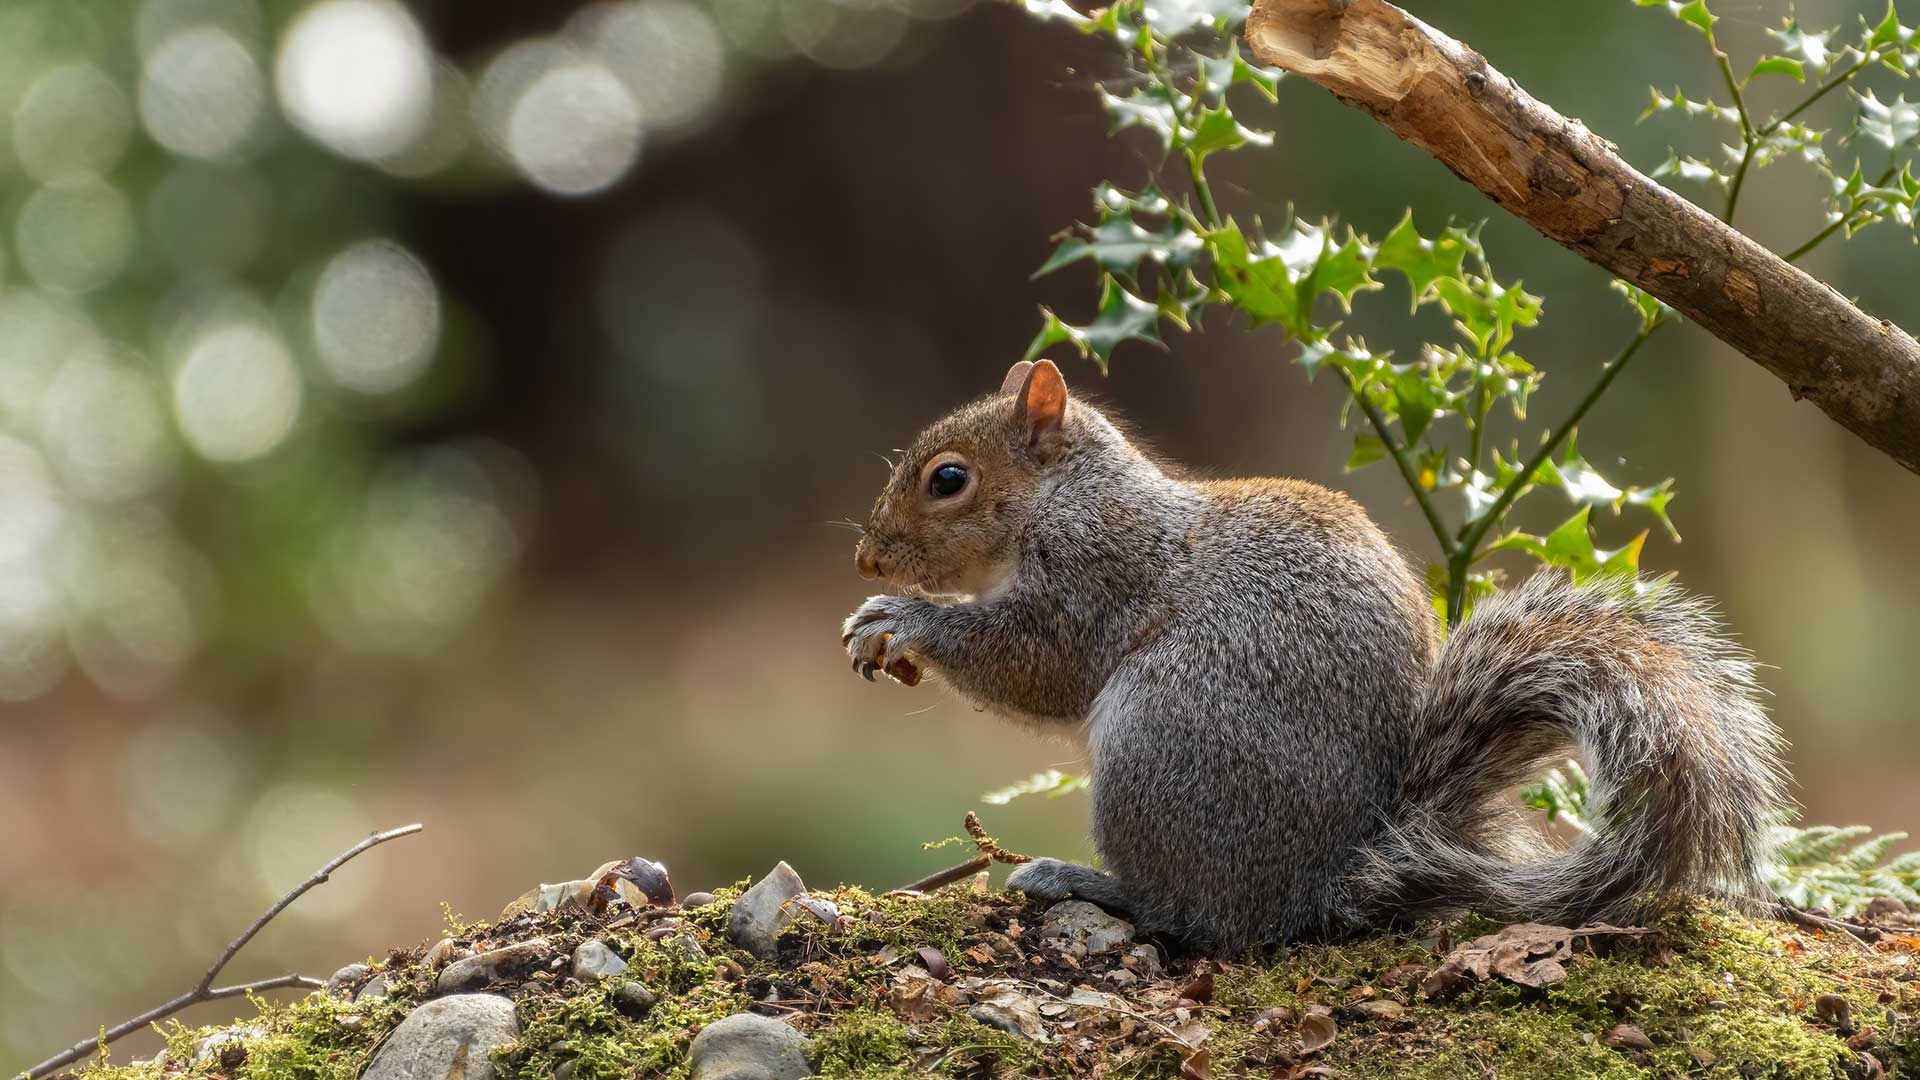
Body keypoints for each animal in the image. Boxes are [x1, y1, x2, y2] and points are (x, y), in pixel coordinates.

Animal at [841, 358, 1789, 954]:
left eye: (949, 479)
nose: (868, 559)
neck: (1067, 495)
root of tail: (1328, 880)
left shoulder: (1098, 576)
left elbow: (1039, 663)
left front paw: (904, 619)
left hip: (1163, 740)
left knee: (1198, 916)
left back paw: (1080, 881)